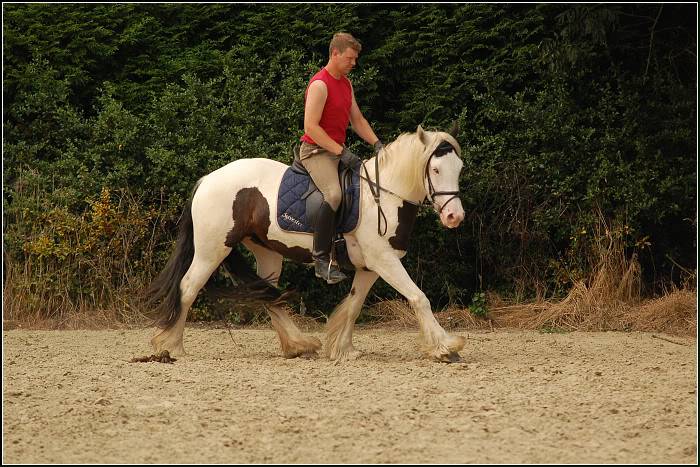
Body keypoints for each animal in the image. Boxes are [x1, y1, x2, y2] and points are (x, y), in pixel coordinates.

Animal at [146, 123, 468, 362]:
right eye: (435, 170)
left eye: (459, 168)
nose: (455, 216)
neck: (382, 194)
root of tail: (207, 179)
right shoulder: (384, 260)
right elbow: (419, 297)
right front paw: (445, 346)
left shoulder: (370, 267)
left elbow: (355, 305)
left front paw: (343, 349)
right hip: (212, 250)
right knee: (189, 287)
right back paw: (172, 346)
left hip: (267, 252)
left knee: (268, 296)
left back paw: (299, 345)